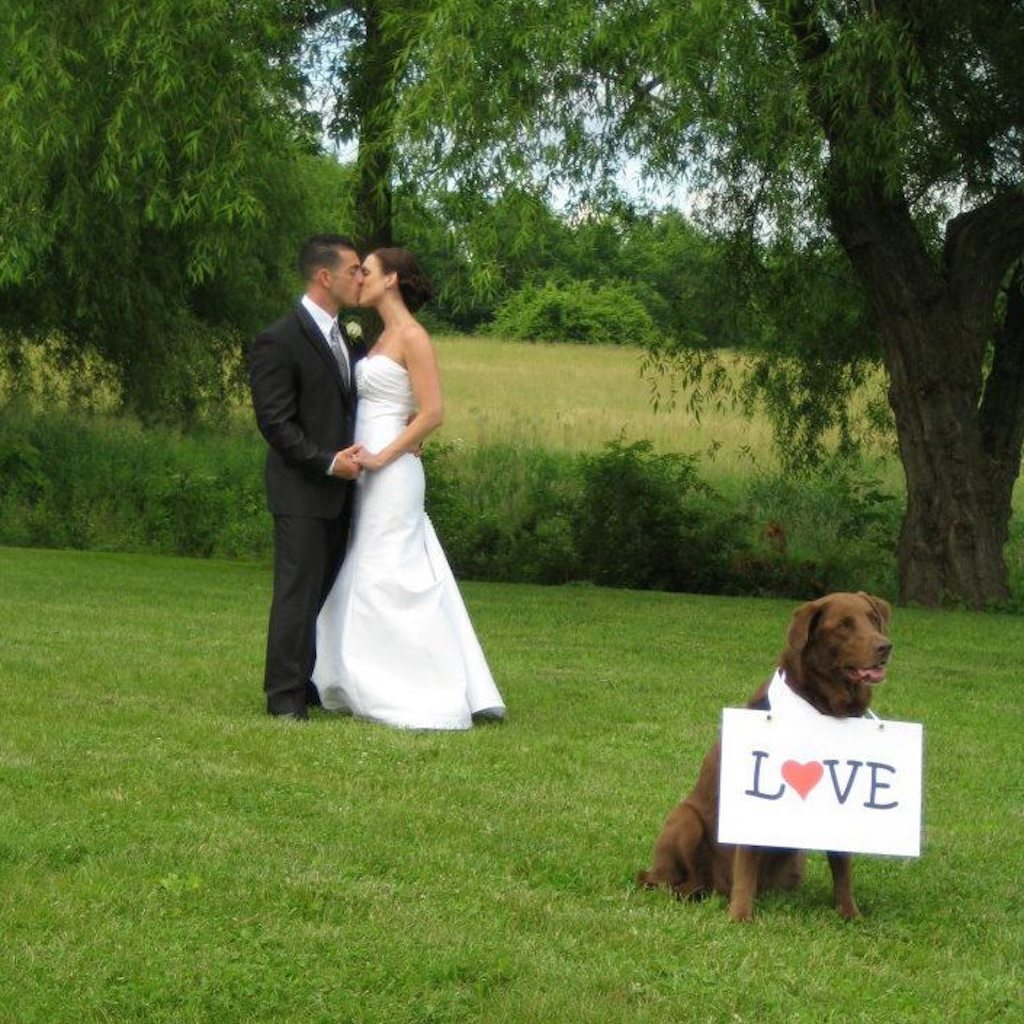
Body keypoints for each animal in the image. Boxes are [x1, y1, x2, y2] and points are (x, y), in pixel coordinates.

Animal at [638, 593, 888, 921]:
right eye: (843, 625)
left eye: (873, 619)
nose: (885, 646)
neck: (823, 709)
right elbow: (746, 863)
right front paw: (740, 917)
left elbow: (842, 868)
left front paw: (849, 913)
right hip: (684, 820)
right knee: (677, 880)